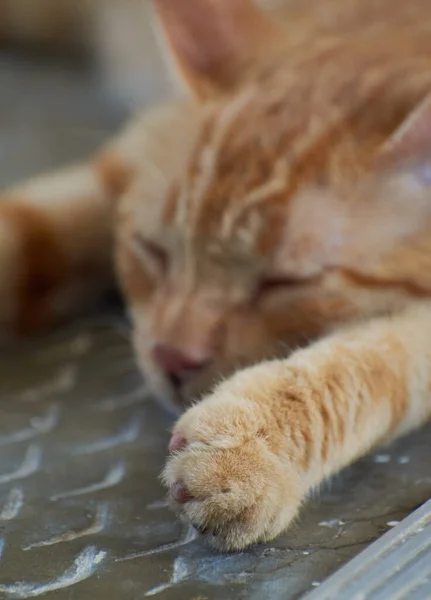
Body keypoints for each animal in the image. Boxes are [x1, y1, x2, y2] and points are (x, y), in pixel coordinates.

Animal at [2, 0, 431, 552]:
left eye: (282, 283)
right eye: (153, 250)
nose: (172, 357)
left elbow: (379, 359)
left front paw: (255, 447)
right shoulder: (121, 162)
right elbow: (23, 233)